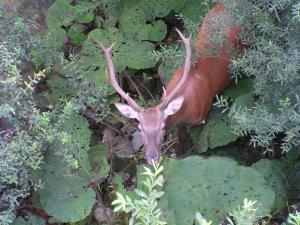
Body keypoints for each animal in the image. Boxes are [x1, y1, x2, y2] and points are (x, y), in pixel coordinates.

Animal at [99, 2, 243, 163]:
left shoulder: (203, 115)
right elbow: (180, 144)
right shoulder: (181, 125)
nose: (152, 158)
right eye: (140, 128)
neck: (184, 111)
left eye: (162, 127)